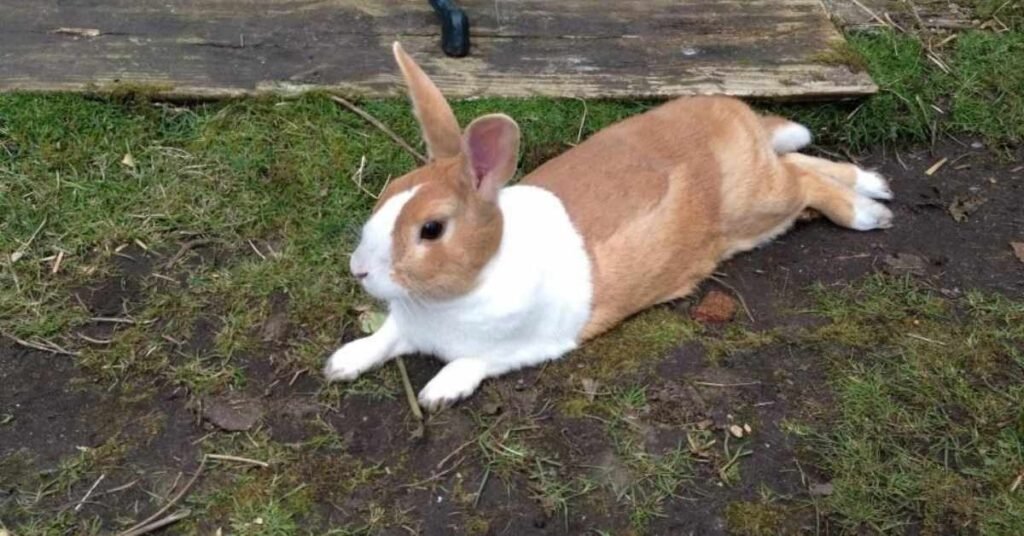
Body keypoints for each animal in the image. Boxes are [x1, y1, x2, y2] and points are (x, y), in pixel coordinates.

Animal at [324, 42, 894, 411]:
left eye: (432, 230)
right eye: (390, 191)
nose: (358, 271)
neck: (470, 283)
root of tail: (738, 115)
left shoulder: (520, 346)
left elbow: (473, 362)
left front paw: (438, 392)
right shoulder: (405, 326)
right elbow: (384, 339)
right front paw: (342, 363)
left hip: (760, 205)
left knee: (802, 182)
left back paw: (870, 211)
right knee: (801, 162)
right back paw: (874, 184)